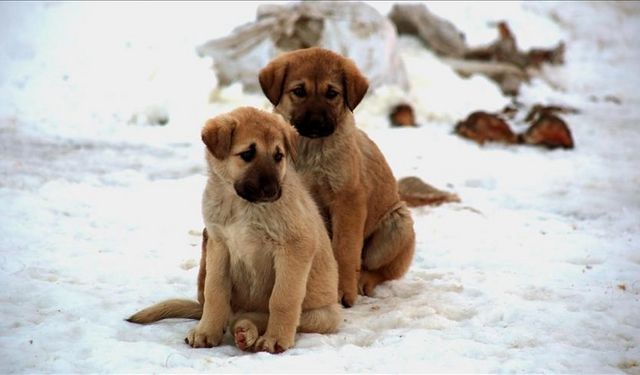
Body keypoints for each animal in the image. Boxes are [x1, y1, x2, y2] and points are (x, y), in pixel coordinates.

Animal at [127, 107, 342, 354]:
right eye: (247, 154)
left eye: (278, 156)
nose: (271, 191)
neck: (241, 204)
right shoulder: (219, 246)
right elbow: (214, 292)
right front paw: (206, 332)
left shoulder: (294, 247)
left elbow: (282, 299)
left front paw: (276, 338)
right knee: (232, 315)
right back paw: (242, 330)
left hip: (324, 315)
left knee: (257, 316)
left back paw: (246, 331)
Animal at [258, 47, 418, 306]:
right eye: (299, 91)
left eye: (332, 93)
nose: (315, 123)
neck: (310, 150)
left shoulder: (348, 200)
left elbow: (344, 250)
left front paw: (342, 290)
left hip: (397, 225)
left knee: (380, 270)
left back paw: (362, 281)